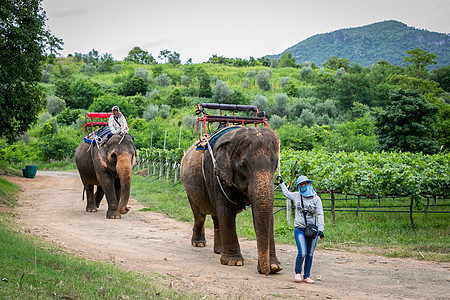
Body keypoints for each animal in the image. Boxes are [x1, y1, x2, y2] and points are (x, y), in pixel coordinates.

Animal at [179, 125, 282, 276]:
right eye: (243, 165)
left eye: (275, 165)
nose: (266, 272)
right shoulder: (216, 174)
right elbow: (226, 211)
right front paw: (234, 262)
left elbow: (267, 217)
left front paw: (275, 267)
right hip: (189, 189)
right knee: (200, 214)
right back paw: (199, 244)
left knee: (216, 217)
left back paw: (220, 250)